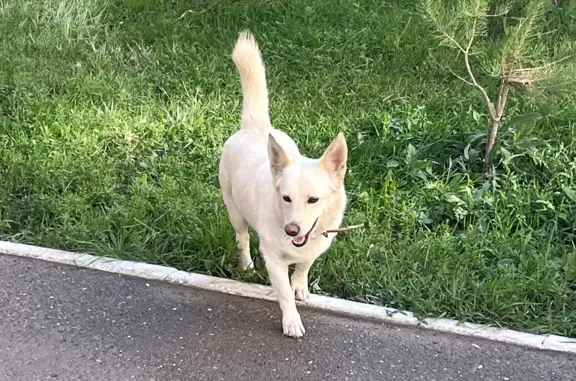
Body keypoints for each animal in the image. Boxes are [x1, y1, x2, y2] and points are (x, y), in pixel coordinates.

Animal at [219, 31, 346, 336]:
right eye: (286, 198)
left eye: (313, 199)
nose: (292, 230)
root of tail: (255, 126)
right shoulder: (274, 261)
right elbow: (285, 293)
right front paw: (291, 321)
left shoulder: (313, 249)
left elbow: (302, 268)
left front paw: (300, 285)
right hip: (235, 212)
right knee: (242, 239)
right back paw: (246, 264)